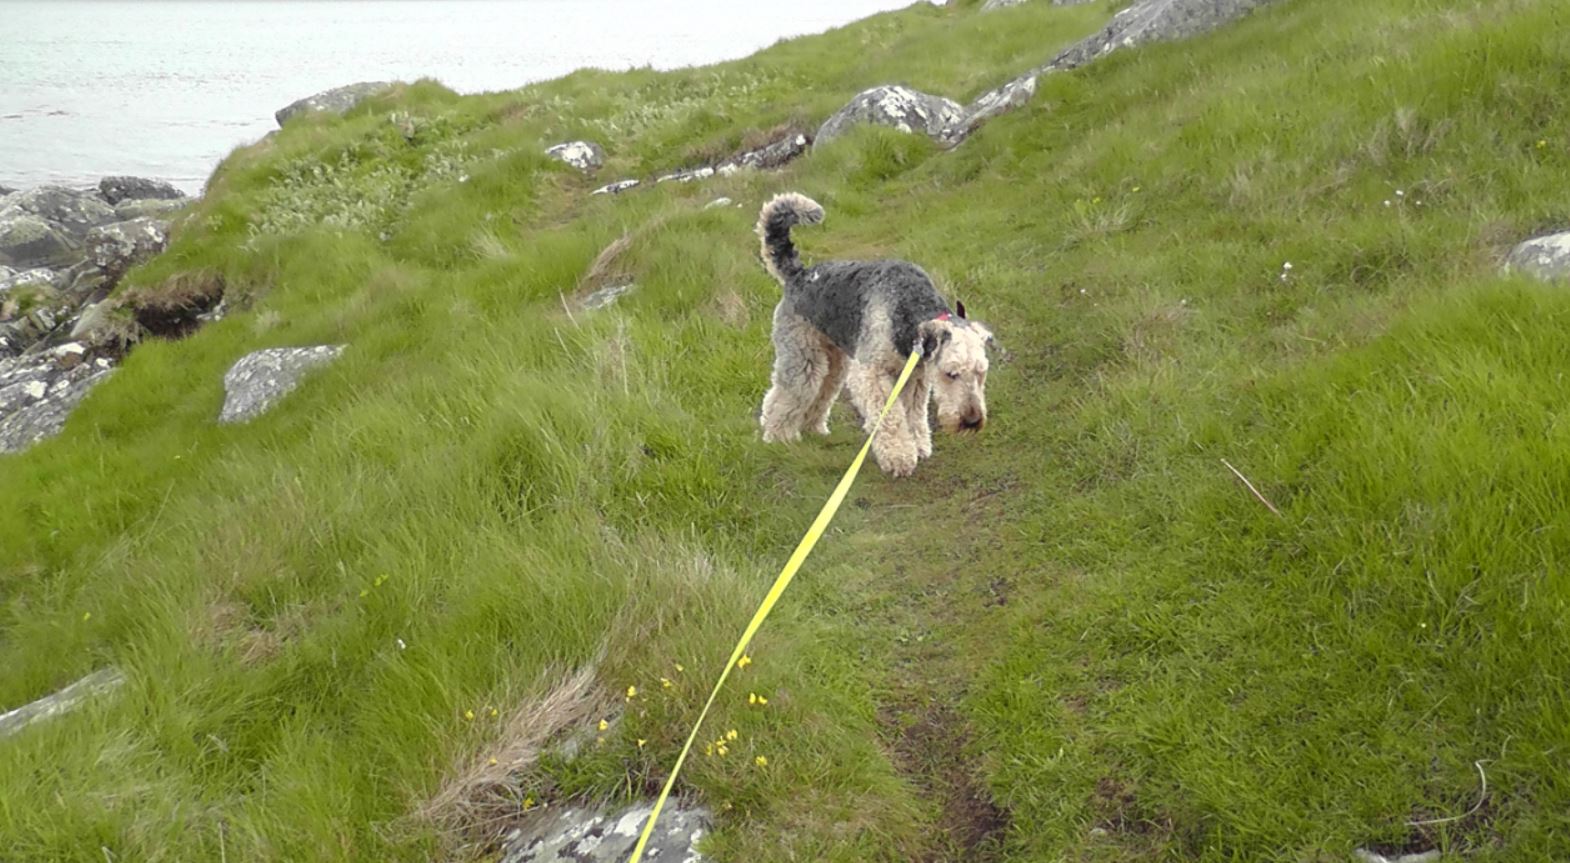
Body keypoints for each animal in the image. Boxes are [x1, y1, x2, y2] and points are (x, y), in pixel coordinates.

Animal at [754, 192, 995, 477]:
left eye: (981, 373)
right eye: (951, 374)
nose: (972, 421)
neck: (907, 313)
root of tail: (798, 275)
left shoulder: (914, 376)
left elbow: (913, 414)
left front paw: (918, 445)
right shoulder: (871, 373)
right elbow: (890, 416)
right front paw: (899, 456)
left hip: (834, 363)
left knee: (820, 394)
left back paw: (813, 428)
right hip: (802, 357)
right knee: (781, 398)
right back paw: (778, 435)